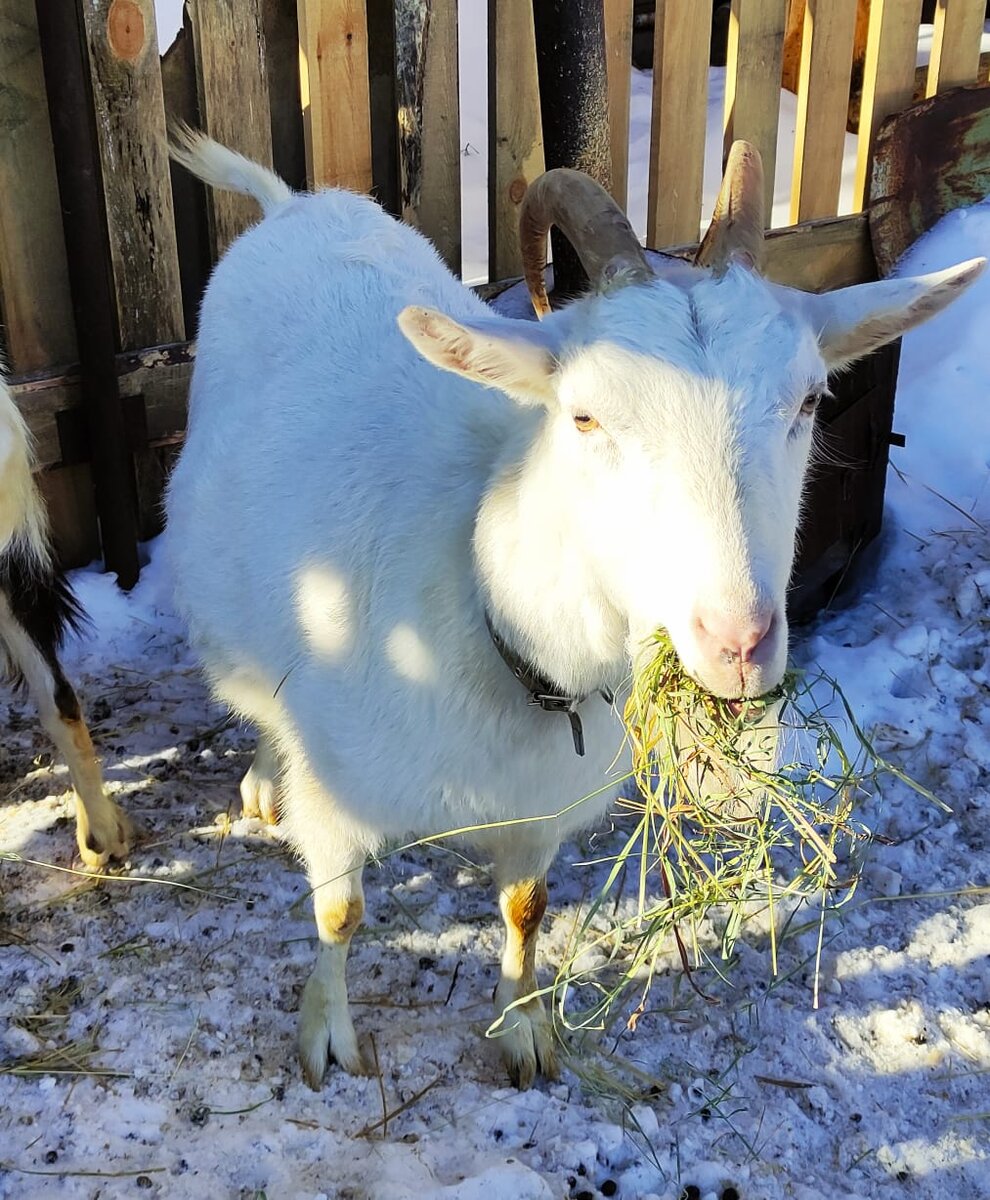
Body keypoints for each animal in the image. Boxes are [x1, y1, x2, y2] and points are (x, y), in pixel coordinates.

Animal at [165, 131, 979, 1089]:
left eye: (812, 400)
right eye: (585, 416)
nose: (738, 642)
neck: (483, 612)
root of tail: (292, 202)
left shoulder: (541, 807)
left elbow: (526, 906)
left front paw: (524, 1031)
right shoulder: (336, 795)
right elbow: (338, 917)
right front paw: (327, 1038)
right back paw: (264, 771)